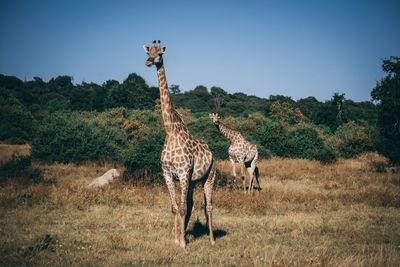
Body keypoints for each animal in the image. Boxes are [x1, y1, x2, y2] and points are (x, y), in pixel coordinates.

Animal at [144, 40, 217, 249]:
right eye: (148, 51)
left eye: (160, 53)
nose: (149, 61)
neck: (170, 131)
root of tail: (213, 153)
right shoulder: (168, 173)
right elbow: (175, 208)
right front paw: (176, 238)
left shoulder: (183, 173)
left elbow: (183, 208)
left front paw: (183, 244)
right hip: (192, 181)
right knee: (191, 204)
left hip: (209, 176)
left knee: (208, 205)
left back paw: (212, 239)